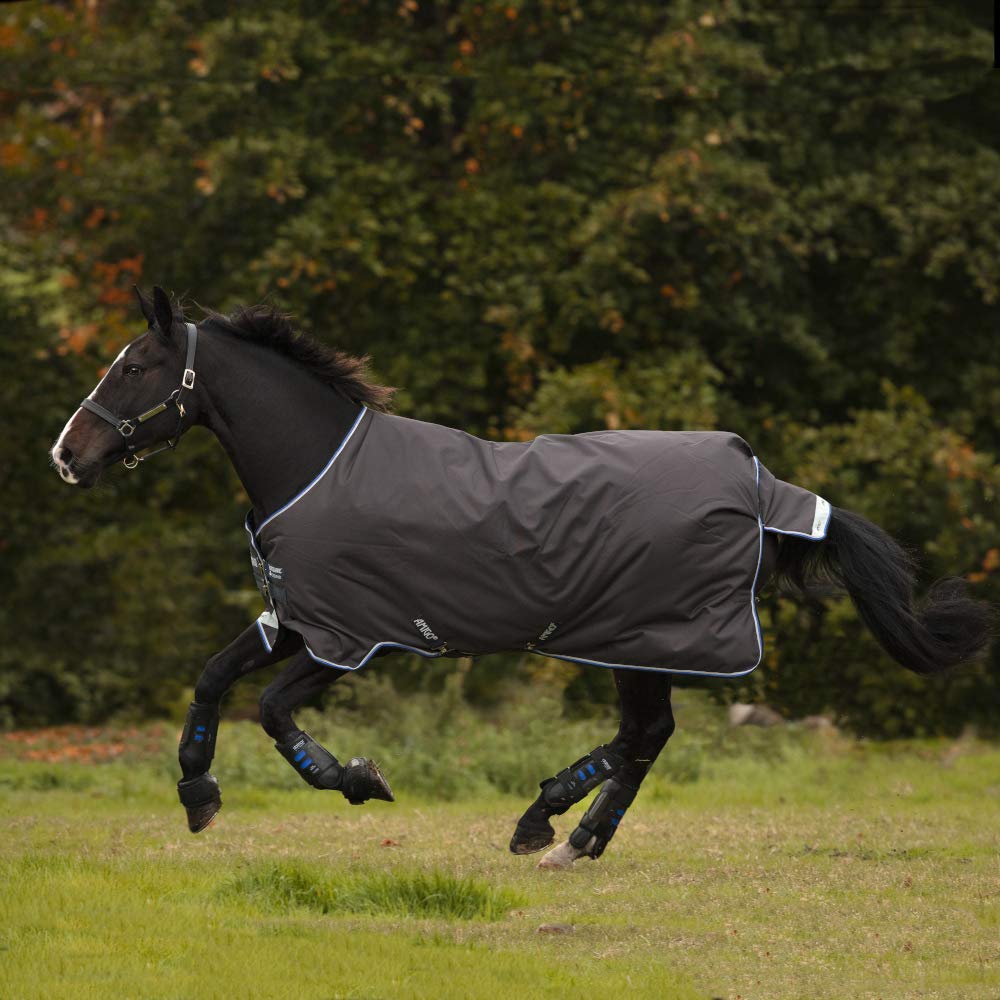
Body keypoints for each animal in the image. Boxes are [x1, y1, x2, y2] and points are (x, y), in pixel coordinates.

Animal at [51, 286, 991, 869]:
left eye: (132, 368)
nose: (67, 456)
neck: (315, 467)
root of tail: (757, 483)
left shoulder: (349, 639)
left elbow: (275, 713)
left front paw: (360, 781)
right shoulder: (295, 620)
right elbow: (212, 679)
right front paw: (197, 795)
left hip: (641, 640)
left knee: (644, 736)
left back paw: (548, 824)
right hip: (638, 644)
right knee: (647, 738)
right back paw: (571, 835)